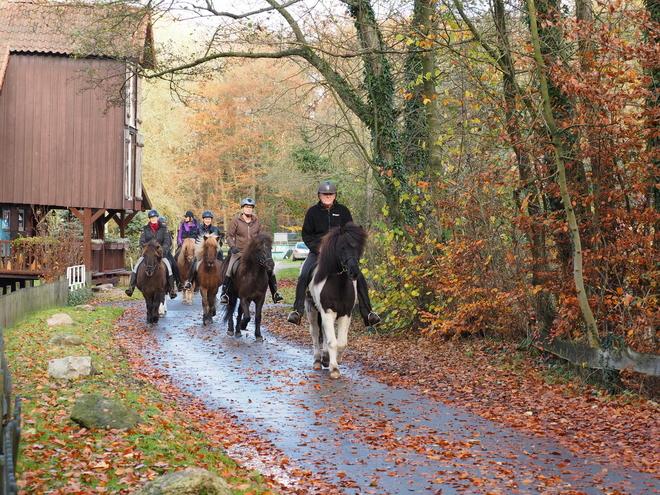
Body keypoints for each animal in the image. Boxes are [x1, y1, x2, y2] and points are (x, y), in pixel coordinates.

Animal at [306, 224, 368, 380]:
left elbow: (341, 343)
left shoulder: (345, 314)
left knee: (324, 332)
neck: (338, 283)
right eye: (343, 247)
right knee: (315, 333)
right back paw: (317, 360)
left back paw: (326, 358)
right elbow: (332, 342)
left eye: (358, 247)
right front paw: (334, 369)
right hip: (312, 310)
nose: (354, 273)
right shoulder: (327, 313)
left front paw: (336, 360)